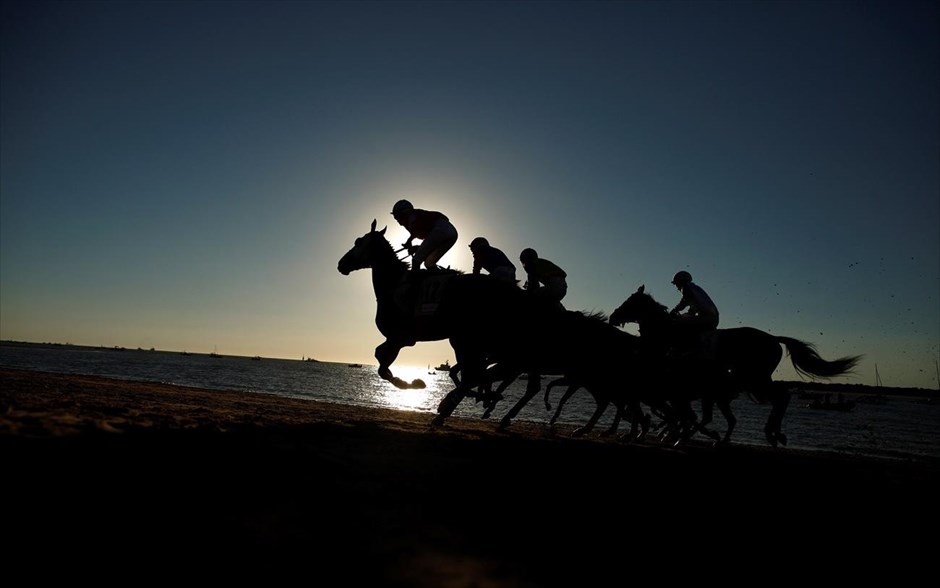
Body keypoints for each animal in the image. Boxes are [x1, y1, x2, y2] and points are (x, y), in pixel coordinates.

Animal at [604, 284, 864, 446]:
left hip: (756, 378)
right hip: (756, 379)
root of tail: (774, 339)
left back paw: (773, 433)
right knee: (781, 397)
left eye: (629, 301)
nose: (613, 317)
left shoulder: (676, 385)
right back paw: (773, 434)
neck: (666, 335)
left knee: (782, 396)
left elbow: (679, 412)